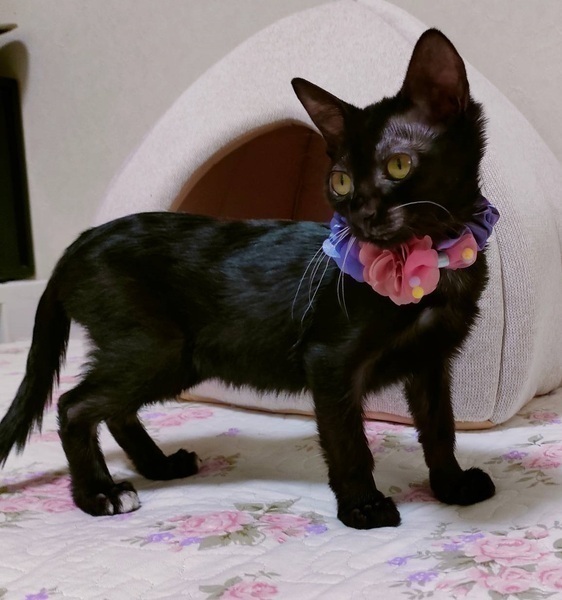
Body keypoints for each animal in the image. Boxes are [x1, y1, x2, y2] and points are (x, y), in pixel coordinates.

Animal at [0, 29, 497, 529]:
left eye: (398, 165)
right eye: (339, 182)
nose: (360, 215)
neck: (432, 261)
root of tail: (79, 242)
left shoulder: (430, 363)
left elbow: (439, 427)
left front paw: (452, 486)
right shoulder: (328, 360)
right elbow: (348, 439)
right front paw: (363, 506)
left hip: (178, 357)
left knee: (115, 409)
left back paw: (160, 466)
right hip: (157, 346)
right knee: (74, 405)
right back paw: (99, 494)